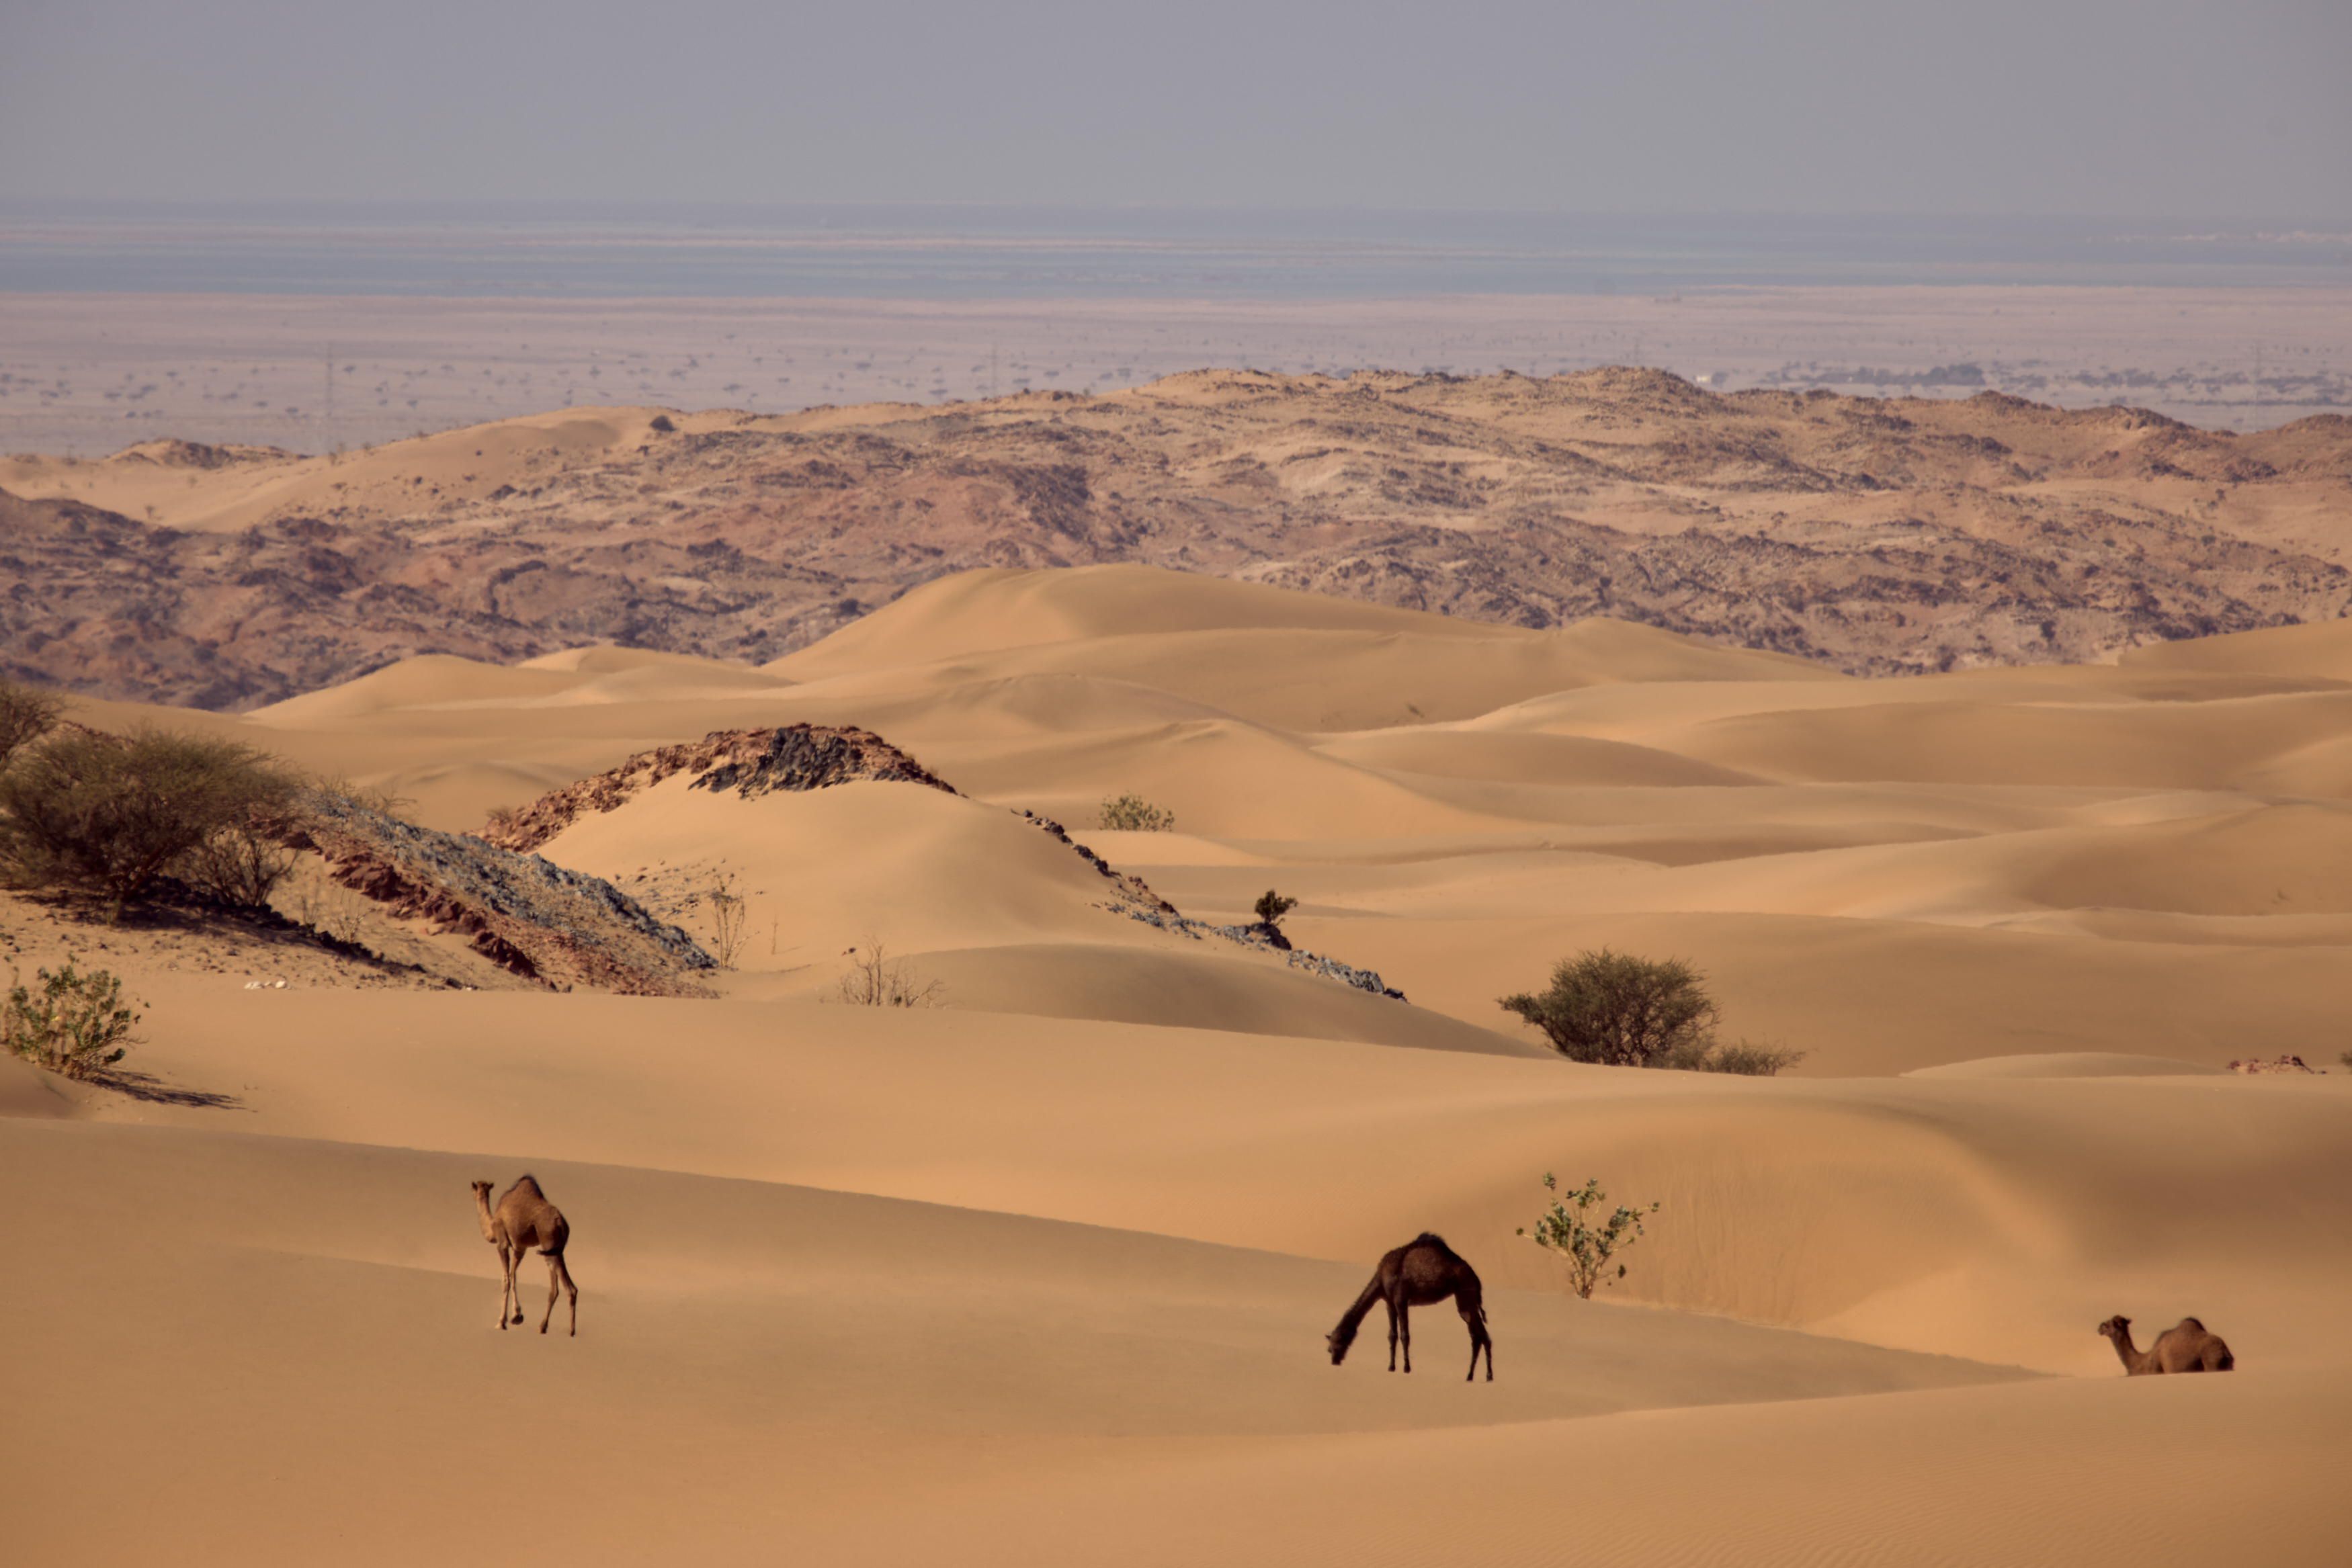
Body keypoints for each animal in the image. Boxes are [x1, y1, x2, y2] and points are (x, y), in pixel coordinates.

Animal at [471, 1175, 579, 1336]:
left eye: (473, 1188)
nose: (472, 1194)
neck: (491, 1225)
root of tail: (562, 1223)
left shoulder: (502, 1242)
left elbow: (506, 1279)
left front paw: (502, 1322)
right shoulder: (520, 1248)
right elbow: (513, 1276)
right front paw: (516, 1316)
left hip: (547, 1238)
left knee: (569, 1288)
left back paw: (571, 1331)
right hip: (555, 1249)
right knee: (555, 1287)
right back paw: (542, 1327)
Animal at [1326, 1233, 1493, 1382]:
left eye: (1338, 1343)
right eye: (1329, 1347)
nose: (1334, 1361)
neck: (1382, 1277)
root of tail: (1476, 1277)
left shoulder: (1401, 1300)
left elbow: (1405, 1335)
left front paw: (1407, 1368)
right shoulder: (1389, 1302)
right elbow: (1392, 1335)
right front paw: (1391, 1367)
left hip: (1466, 1291)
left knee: (1483, 1335)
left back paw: (1489, 1376)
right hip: (1463, 1300)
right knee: (1475, 1337)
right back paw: (1469, 1376)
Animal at [2097, 1314, 2232, 1375]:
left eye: (2108, 1325)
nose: (2100, 1328)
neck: (2142, 1363)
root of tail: (2225, 1350)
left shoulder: (2155, 1370)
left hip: (2212, 1362)